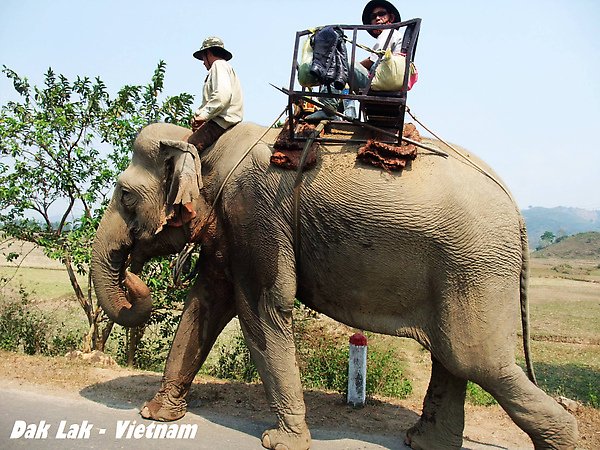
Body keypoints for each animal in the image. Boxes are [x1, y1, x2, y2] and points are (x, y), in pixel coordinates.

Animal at [92, 120, 576, 450]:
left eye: (125, 196)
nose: (133, 271)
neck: (207, 145)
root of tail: (518, 212)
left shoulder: (256, 214)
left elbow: (263, 308)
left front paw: (280, 442)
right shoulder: (231, 229)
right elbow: (205, 305)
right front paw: (155, 416)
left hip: (476, 267)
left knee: (476, 360)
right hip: (465, 270)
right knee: (454, 358)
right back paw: (421, 442)